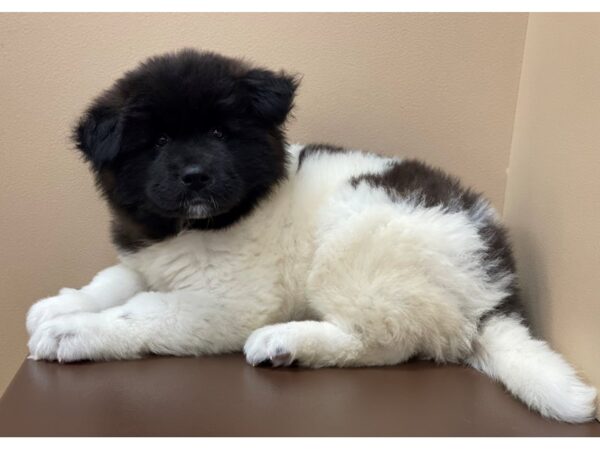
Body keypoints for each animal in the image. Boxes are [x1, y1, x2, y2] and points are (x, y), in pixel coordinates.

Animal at [25, 48, 596, 422]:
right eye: (160, 141)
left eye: (219, 133)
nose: (195, 176)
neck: (197, 225)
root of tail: (496, 281)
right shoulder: (148, 255)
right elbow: (112, 281)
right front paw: (61, 306)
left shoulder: (228, 302)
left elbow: (141, 311)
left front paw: (73, 332)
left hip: (357, 249)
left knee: (383, 342)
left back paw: (288, 342)